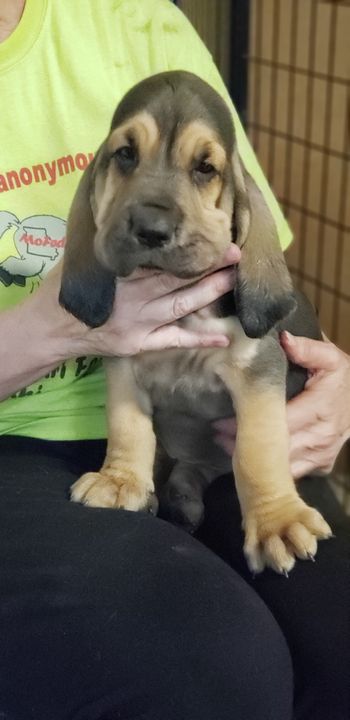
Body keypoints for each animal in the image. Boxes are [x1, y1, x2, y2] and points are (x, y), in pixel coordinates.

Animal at [59, 69, 330, 572]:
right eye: (125, 154)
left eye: (205, 168)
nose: (150, 228)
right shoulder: (124, 366)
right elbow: (128, 427)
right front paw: (121, 480)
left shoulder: (258, 373)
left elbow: (256, 451)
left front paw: (278, 521)